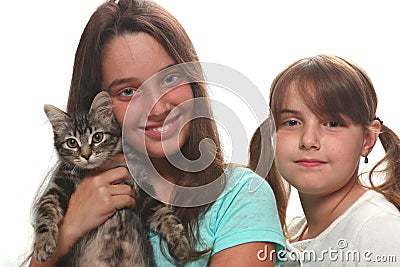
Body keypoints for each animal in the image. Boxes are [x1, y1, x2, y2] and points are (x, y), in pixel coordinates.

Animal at [32, 92, 191, 267]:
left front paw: (181, 244)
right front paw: (43, 244)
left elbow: (166, 215)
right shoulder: (59, 185)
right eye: (72, 143)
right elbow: (46, 211)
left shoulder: (144, 189)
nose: (86, 155)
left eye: (97, 137)